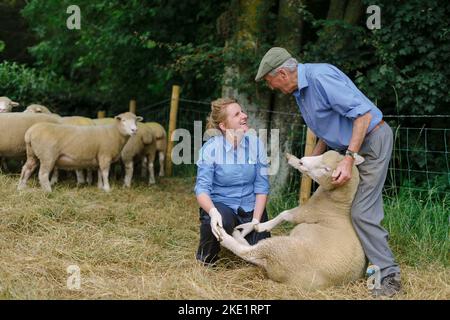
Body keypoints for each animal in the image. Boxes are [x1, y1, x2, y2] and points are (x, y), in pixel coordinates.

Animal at [217, 151, 366, 292]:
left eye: (326, 169)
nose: (303, 160)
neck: (339, 205)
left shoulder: (307, 211)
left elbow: (284, 215)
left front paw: (261, 226)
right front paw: (293, 160)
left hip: (281, 248)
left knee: (248, 252)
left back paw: (226, 236)